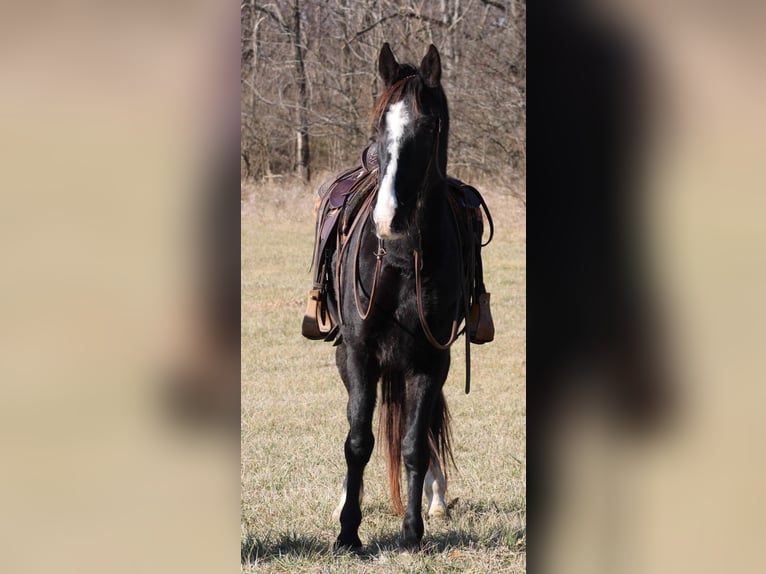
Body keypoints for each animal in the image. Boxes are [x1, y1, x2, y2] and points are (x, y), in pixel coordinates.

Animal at [326, 42, 464, 552]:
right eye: (379, 126)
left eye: (429, 127)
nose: (388, 218)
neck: (402, 260)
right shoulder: (360, 353)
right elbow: (358, 441)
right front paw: (348, 530)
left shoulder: (430, 361)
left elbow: (413, 444)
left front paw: (412, 530)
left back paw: (435, 497)